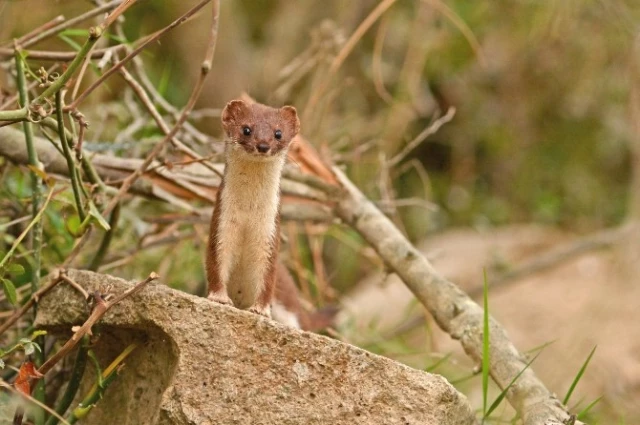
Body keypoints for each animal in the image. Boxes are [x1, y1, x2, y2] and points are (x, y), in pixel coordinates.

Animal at [209, 100, 302, 318]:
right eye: (246, 129)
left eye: (278, 133)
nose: (263, 145)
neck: (248, 211)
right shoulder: (222, 221)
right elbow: (217, 260)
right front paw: (219, 298)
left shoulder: (269, 231)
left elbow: (267, 274)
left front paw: (260, 310)